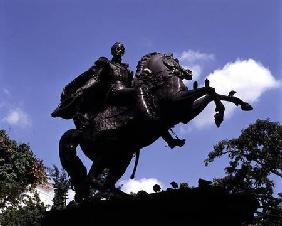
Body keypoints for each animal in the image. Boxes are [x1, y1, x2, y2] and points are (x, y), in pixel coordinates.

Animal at [57, 52, 253, 201]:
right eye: (175, 60)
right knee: (92, 179)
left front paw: (240, 104)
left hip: (121, 157)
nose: (189, 72)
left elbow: (213, 92)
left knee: (102, 183)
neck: (161, 82)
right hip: (106, 155)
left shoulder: (185, 112)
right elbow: (209, 91)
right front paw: (219, 114)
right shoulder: (178, 105)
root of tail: (80, 131)